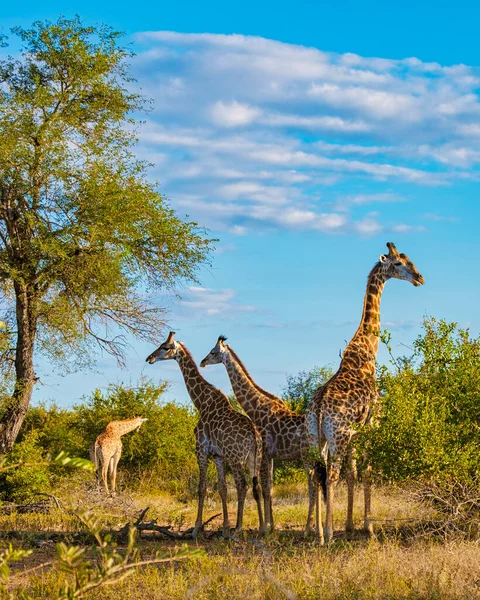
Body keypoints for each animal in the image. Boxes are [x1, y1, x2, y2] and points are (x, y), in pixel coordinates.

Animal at [147, 332, 266, 540]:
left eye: (165, 347)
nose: (149, 358)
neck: (201, 403)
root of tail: (254, 434)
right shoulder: (218, 456)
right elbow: (222, 489)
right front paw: (224, 529)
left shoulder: (201, 451)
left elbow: (201, 488)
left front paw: (196, 529)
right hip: (255, 457)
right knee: (255, 485)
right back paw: (261, 528)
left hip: (236, 458)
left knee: (242, 486)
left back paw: (238, 530)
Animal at [199, 338, 322, 536]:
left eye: (213, 352)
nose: (202, 362)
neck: (256, 407)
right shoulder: (270, 456)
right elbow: (269, 488)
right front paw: (272, 526)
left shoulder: (264, 452)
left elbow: (264, 489)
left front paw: (265, 528)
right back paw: (319, 528)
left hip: (306, 456)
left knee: (312, 485)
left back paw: (308, 529)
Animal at [306, 243, 422, 544]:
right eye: (398, 263)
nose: (419, 278)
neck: (367, 352)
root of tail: (318, 408)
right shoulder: (373, 424)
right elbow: (366, 473)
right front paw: (367, 528)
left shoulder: (356, 434)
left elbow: (353, 474)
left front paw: (350, 525)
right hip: (337, 436)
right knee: (330, 476)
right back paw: (329, 535)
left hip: (316, 438)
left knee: (315, 474)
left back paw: (317, 533)